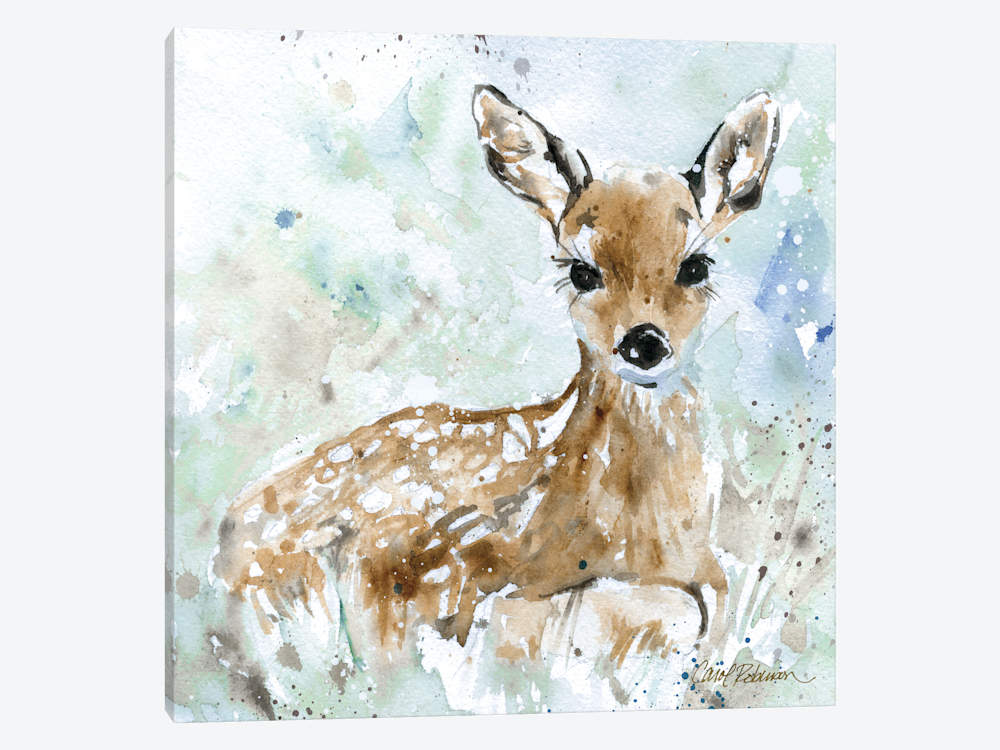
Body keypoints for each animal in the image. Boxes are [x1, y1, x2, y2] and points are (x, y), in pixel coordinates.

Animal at [213, 84, 780, 671]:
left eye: (696, 265)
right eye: (582, 271)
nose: (643, 342)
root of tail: (226, 532)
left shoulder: (707, 582)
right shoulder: (454, 584)